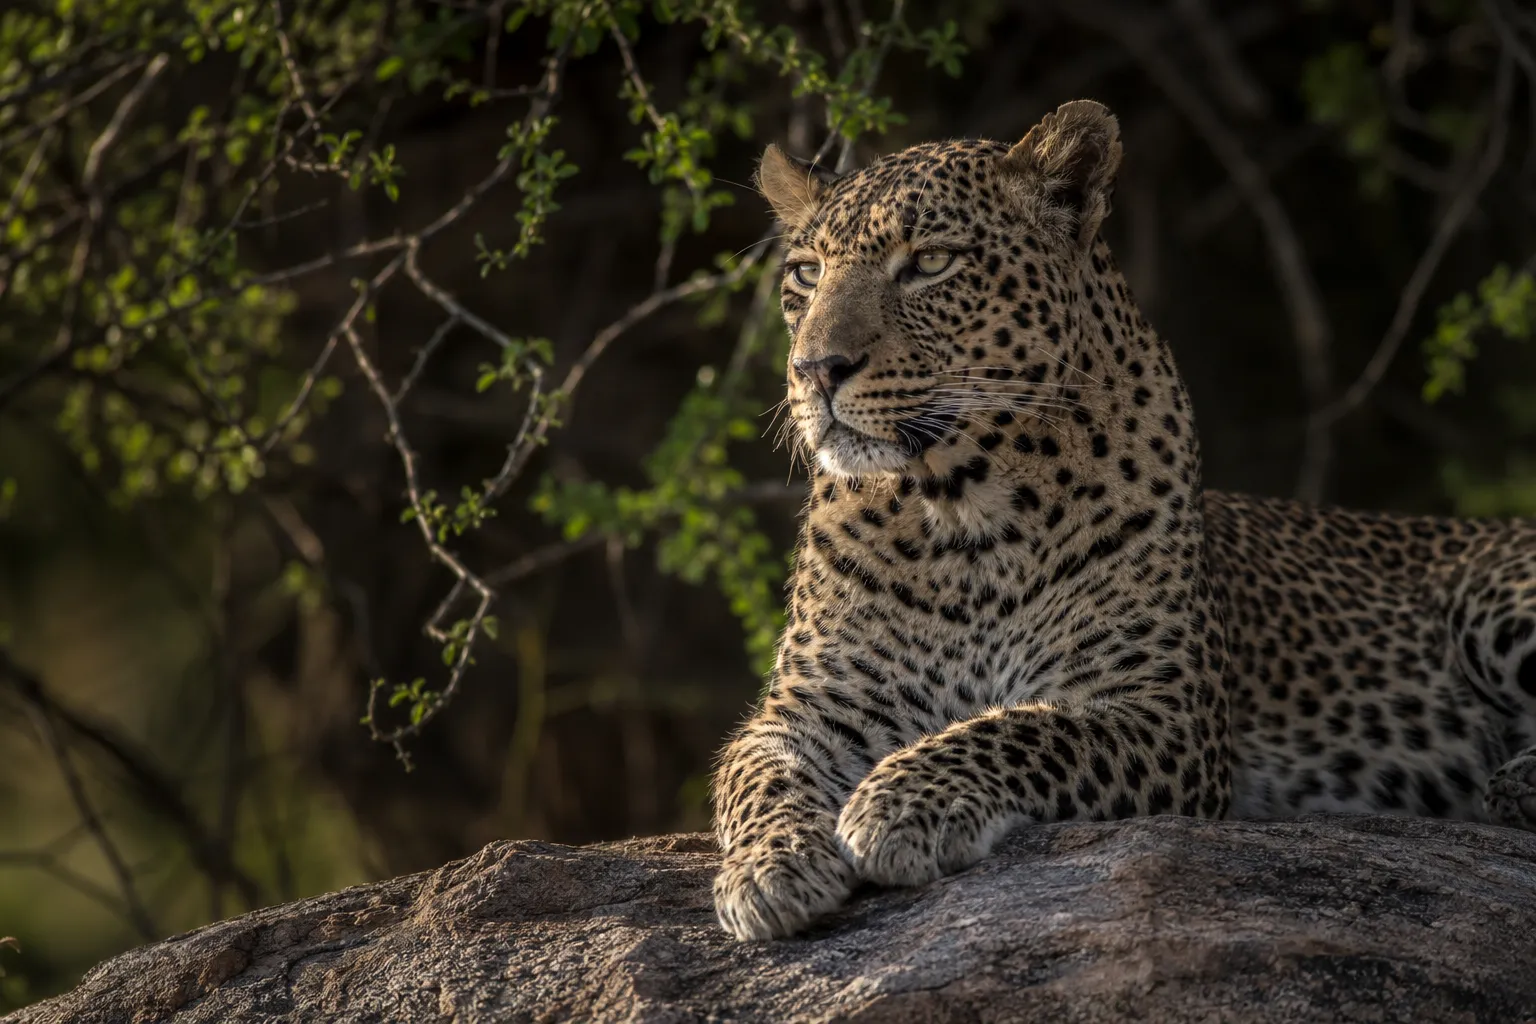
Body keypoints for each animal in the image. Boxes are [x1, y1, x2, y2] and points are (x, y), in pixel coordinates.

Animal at [709, 99, 1536, 942]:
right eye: (806, 273)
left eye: (931, 262)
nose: (815, 369)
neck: (957, 514)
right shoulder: (807, 709)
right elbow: (756, 776)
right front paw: (770, 869)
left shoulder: (1161, 709)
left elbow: (1022, 729)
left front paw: (900, 803)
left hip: (1493, 604)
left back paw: (1514, 783)